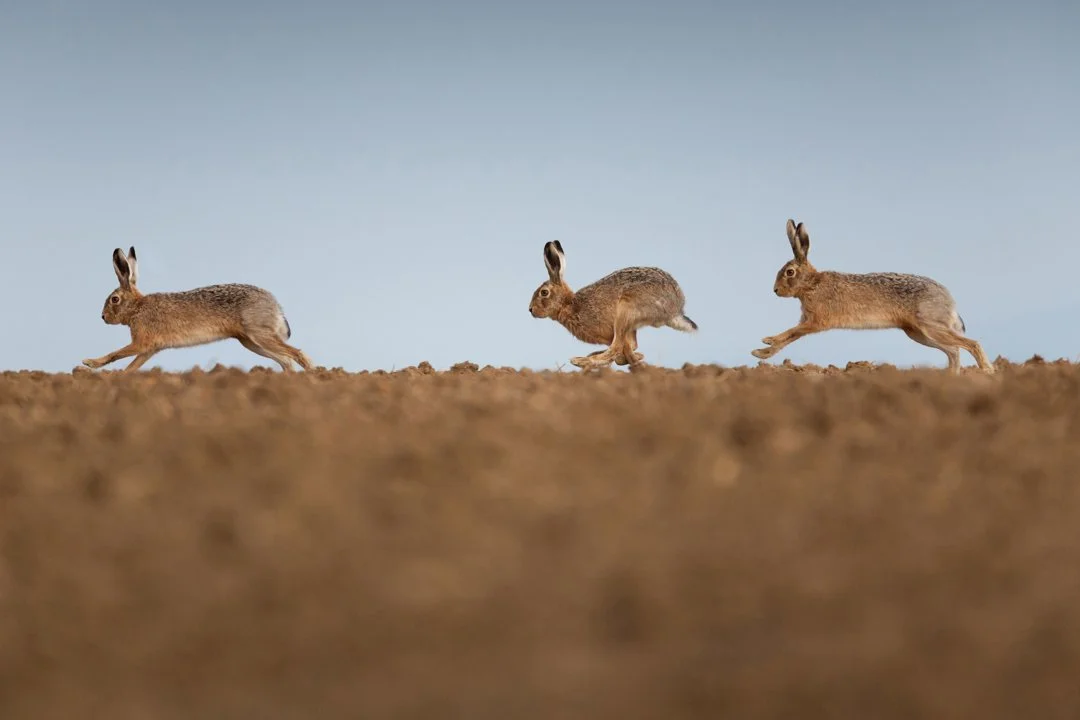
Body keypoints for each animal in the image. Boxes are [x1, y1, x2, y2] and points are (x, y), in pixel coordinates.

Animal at [82, 247, 314, 372]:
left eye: (114, 299)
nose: (103, 317)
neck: (137, 307)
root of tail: (276, 306)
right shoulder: (150, 349)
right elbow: (131, 367)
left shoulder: (142, 343)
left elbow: (115, 354)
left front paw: (90, 363)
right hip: (251, 341)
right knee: (285, 360)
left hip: (259, 334)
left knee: (297, 354)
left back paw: (314, 374)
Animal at [528, 240, 698, 369]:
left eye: (544, 292)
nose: (530, 310)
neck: (569, 304)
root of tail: (676, 308)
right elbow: (629, 347)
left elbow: (622, 348)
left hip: (626, 310)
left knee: (616, 347)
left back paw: (581, 361)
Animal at [751, 219, 994, 374]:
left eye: (789, 272)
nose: (775, 290)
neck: (812, 284)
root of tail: (949, 299)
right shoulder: (808, 321)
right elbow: (789, 338)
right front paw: (761, 353)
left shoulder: (815, 321)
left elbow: (790, 333)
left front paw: (767, 341)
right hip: (919, 333)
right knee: (953, 351)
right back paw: (951, 377)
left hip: (930, 325)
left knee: (970, 344)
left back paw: (987, 371)